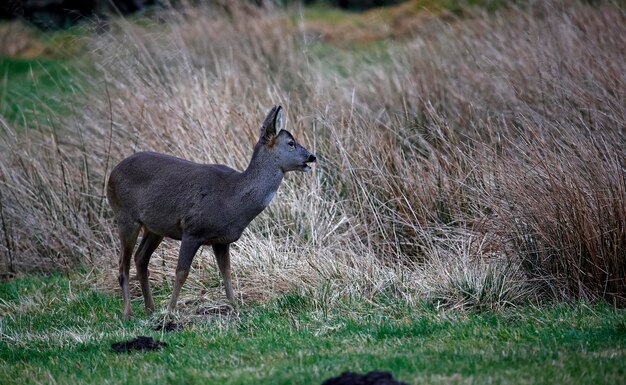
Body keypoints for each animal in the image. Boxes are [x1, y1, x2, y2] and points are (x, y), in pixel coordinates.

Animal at [106, 106, 316, 318]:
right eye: (291, 143)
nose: (312, 156)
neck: (233, 200)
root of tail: (112, 173)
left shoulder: (221, 241)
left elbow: (227, 272)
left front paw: (236, 308)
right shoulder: (192, 230)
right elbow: (181, 273)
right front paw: (171, 311)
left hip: (155, 228)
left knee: (140, 258)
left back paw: (150, 308)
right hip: (125, 216)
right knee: (123, 264)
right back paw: (128, 313)